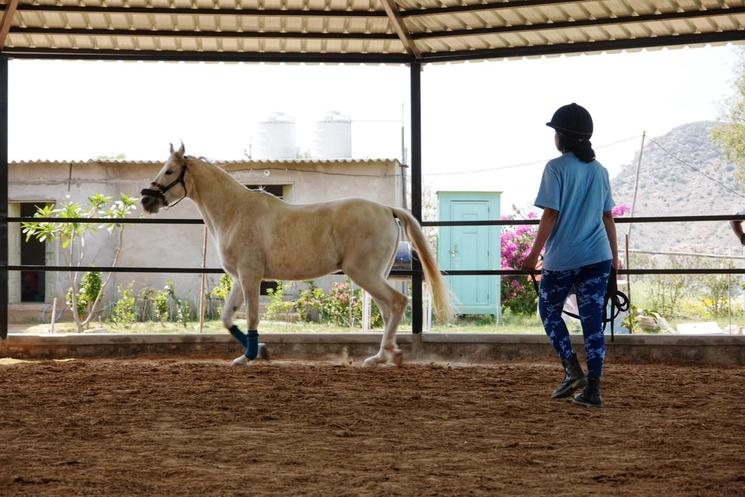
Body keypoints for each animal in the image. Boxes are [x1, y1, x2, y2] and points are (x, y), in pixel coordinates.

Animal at [141, 144, 454, 366]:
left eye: (169, 171)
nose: (146, 200)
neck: (234, 212)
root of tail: (387, 210)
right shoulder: (241, 278)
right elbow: (228, 318)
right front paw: (255, 353)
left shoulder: (251, 276)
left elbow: (251, 316)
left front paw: (252, 356)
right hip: (375, 275)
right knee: (388, 309)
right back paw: (381, 357)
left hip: (364, 273)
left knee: (397, 303)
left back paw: (387, 355)